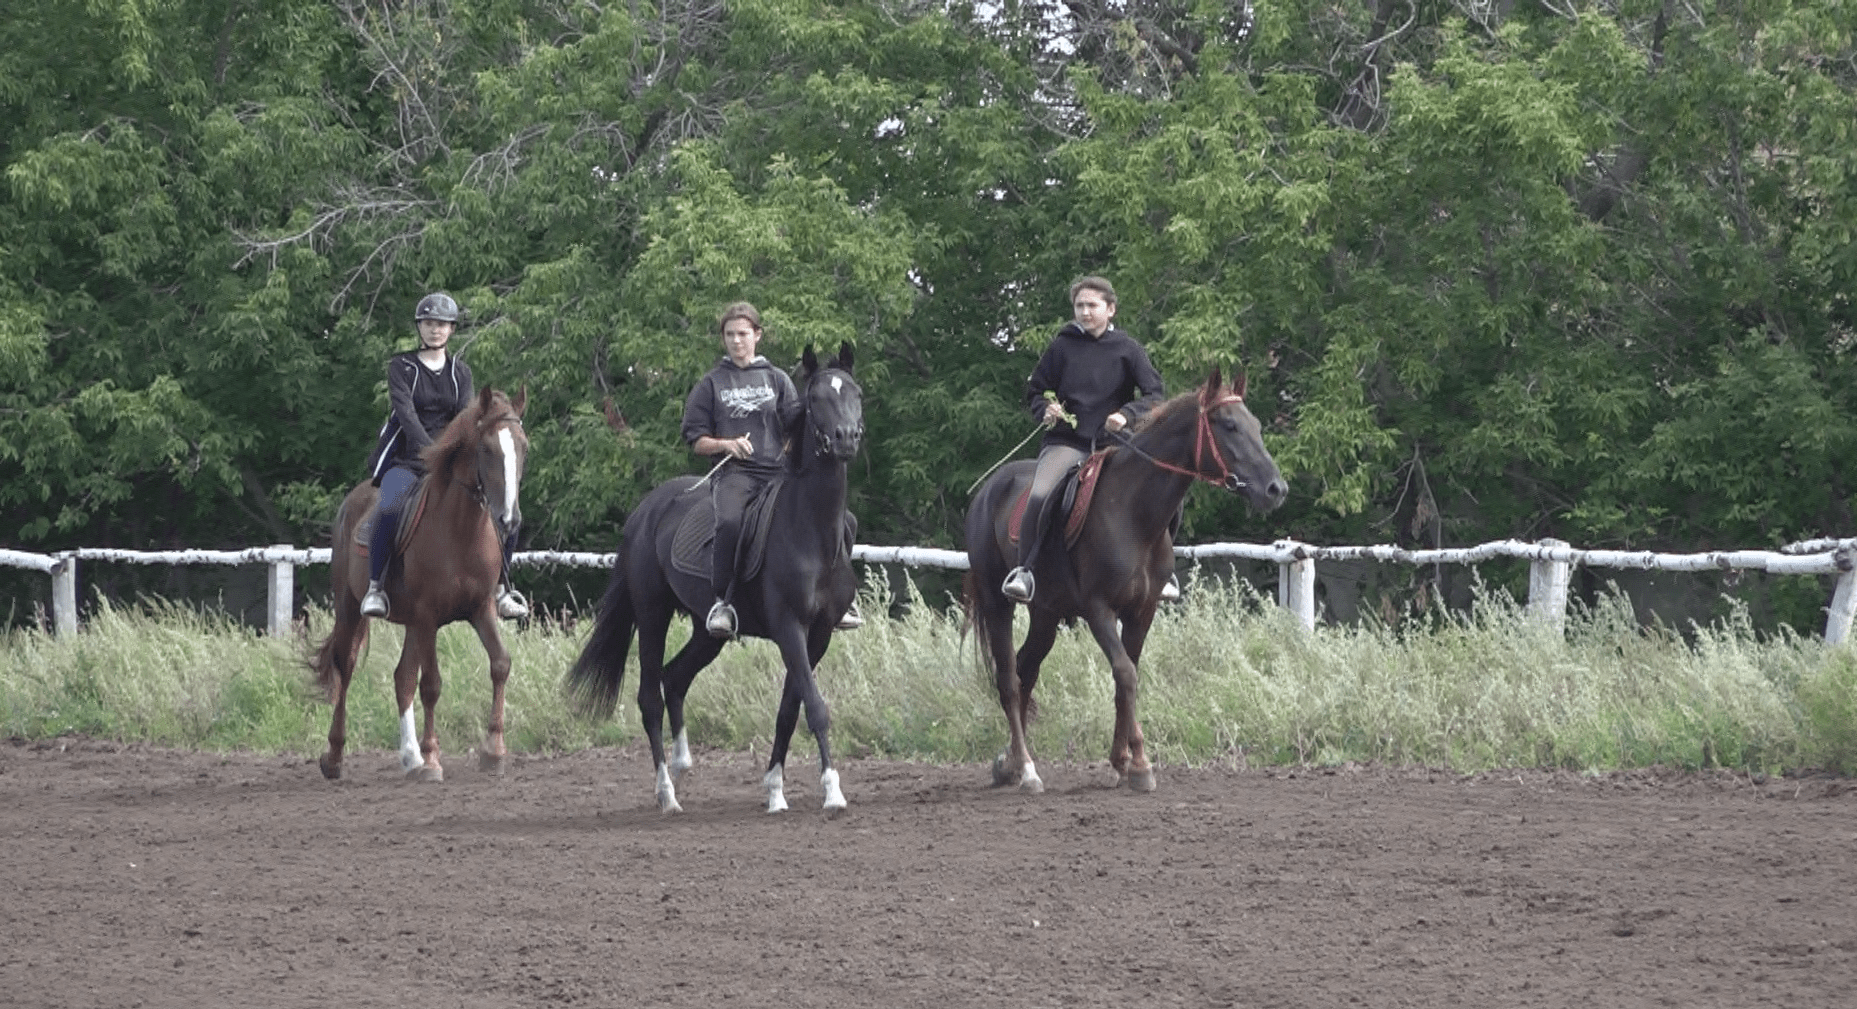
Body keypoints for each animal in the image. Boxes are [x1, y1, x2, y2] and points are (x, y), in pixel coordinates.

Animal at [310, 384, 531, 780]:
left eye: (524, 447)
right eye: (488, 449)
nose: (509, 520)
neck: (461, 531)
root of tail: (352, 501)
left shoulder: (480, 609)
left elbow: (500, 664)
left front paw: (493, 751)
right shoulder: (429, 616)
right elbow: (431, 685)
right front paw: (432, 758)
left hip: (413, 623)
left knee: (402, 678)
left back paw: (409, 757)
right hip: (351, 608)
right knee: (345, 668)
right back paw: (335, 758)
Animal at [564, 343, 861, 817]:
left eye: (855, 392)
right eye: (816, 398)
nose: (846, 438)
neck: (811, 530)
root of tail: (645, 512)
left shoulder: (818, 636)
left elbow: (789, 709)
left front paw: (775, 789)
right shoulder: (789, 629)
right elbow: (814, 707)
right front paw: (832, 791)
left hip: (708, 632)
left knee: (674, 677)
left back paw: (682, 763)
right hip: (652, 614)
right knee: (649, 697)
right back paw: (666, 792)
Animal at [965, 367, 1285, 795]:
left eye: (1257, 426)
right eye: (1229, 425)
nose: (1275, 489)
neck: (1133, 513)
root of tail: (987, 491)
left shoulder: (1142, 610)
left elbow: (1127, 676)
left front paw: (1122, 761)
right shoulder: (1098, 609)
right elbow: (1126, 674)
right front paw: (1139, 763)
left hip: (1046, 615)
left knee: (1025, 670)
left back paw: (1010, 762)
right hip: (998, 604)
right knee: (1009, 680)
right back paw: (1028, 770)